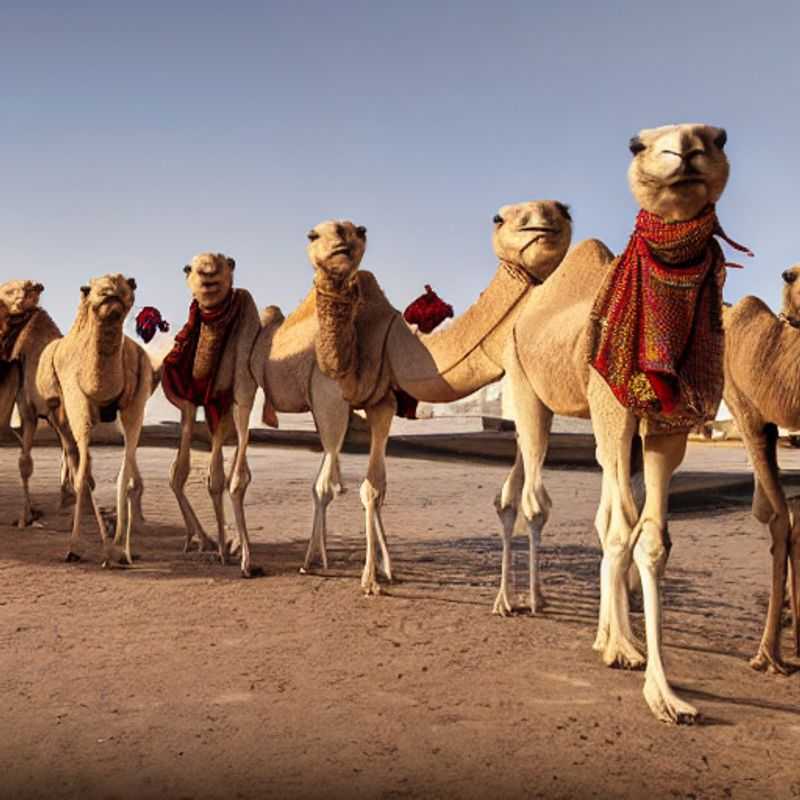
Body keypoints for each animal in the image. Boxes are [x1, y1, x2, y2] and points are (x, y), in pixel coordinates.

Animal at [0, 279, 78, 526]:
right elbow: (25, 462)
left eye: (11, 290)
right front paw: (27, 515)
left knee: (72, 450)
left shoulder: (45, 410)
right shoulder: (29, 410)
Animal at [36, 274, 155, 566]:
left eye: (130, 283)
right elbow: (83, 477)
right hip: (57, 412)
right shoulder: (77, 404)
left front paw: (122, 550)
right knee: (74, 458)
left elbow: (126, 478)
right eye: (88, 289)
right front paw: (75, 548)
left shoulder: (136, 404)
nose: (110, 291)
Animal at [161, 253, 262, 578]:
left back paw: (230, 547)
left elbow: (236, 480)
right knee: (213, 476)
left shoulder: (240, 390)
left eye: (222, 261)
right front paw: (204, 541)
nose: (207, 271)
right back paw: (218, 545)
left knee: (227, 473)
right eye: (192, 267)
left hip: (228, 406)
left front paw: (246, 558)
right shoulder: (190, 399)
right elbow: (179, 474)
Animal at [304, 204, 572, 594]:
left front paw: (379, 573)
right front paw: (368, 579)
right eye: (500, 218)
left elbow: (375, 488)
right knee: (324, 480)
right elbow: (353, 486)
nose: (548, 217)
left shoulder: (384, 403)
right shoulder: (344, 398)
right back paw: (313, 559)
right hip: (327, 402)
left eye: (563, 211)